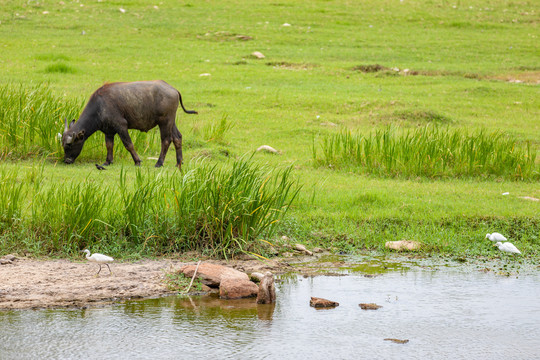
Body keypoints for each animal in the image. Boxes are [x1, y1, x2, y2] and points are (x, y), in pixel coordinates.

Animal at [61, 80, 196, 169]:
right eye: (63, 145)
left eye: (69, 145)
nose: (66, 161)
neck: (100, 106)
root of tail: (173, 89)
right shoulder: (108, 131)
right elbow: (109, 145)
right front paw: (107, 161)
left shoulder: (121, 126)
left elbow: (128, 144)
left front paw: (137, 161)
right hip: (171, 122)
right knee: (177, 137)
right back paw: (178, 162)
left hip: (164, 122)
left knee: (166, 140)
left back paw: (159, 163)